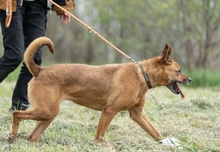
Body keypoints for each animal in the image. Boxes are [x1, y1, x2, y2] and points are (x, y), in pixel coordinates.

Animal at [8, 36, 191, 142]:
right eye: (179, 70)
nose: (189, 79)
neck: (142, 74)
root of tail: (40, 70)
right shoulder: (109, 111)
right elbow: (99, 136)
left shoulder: (137, 114)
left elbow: (155, 132)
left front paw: (168, 143)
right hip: (46, 111)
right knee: (16, 114)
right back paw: (12, 136)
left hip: (48, 114)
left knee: (32, 136)